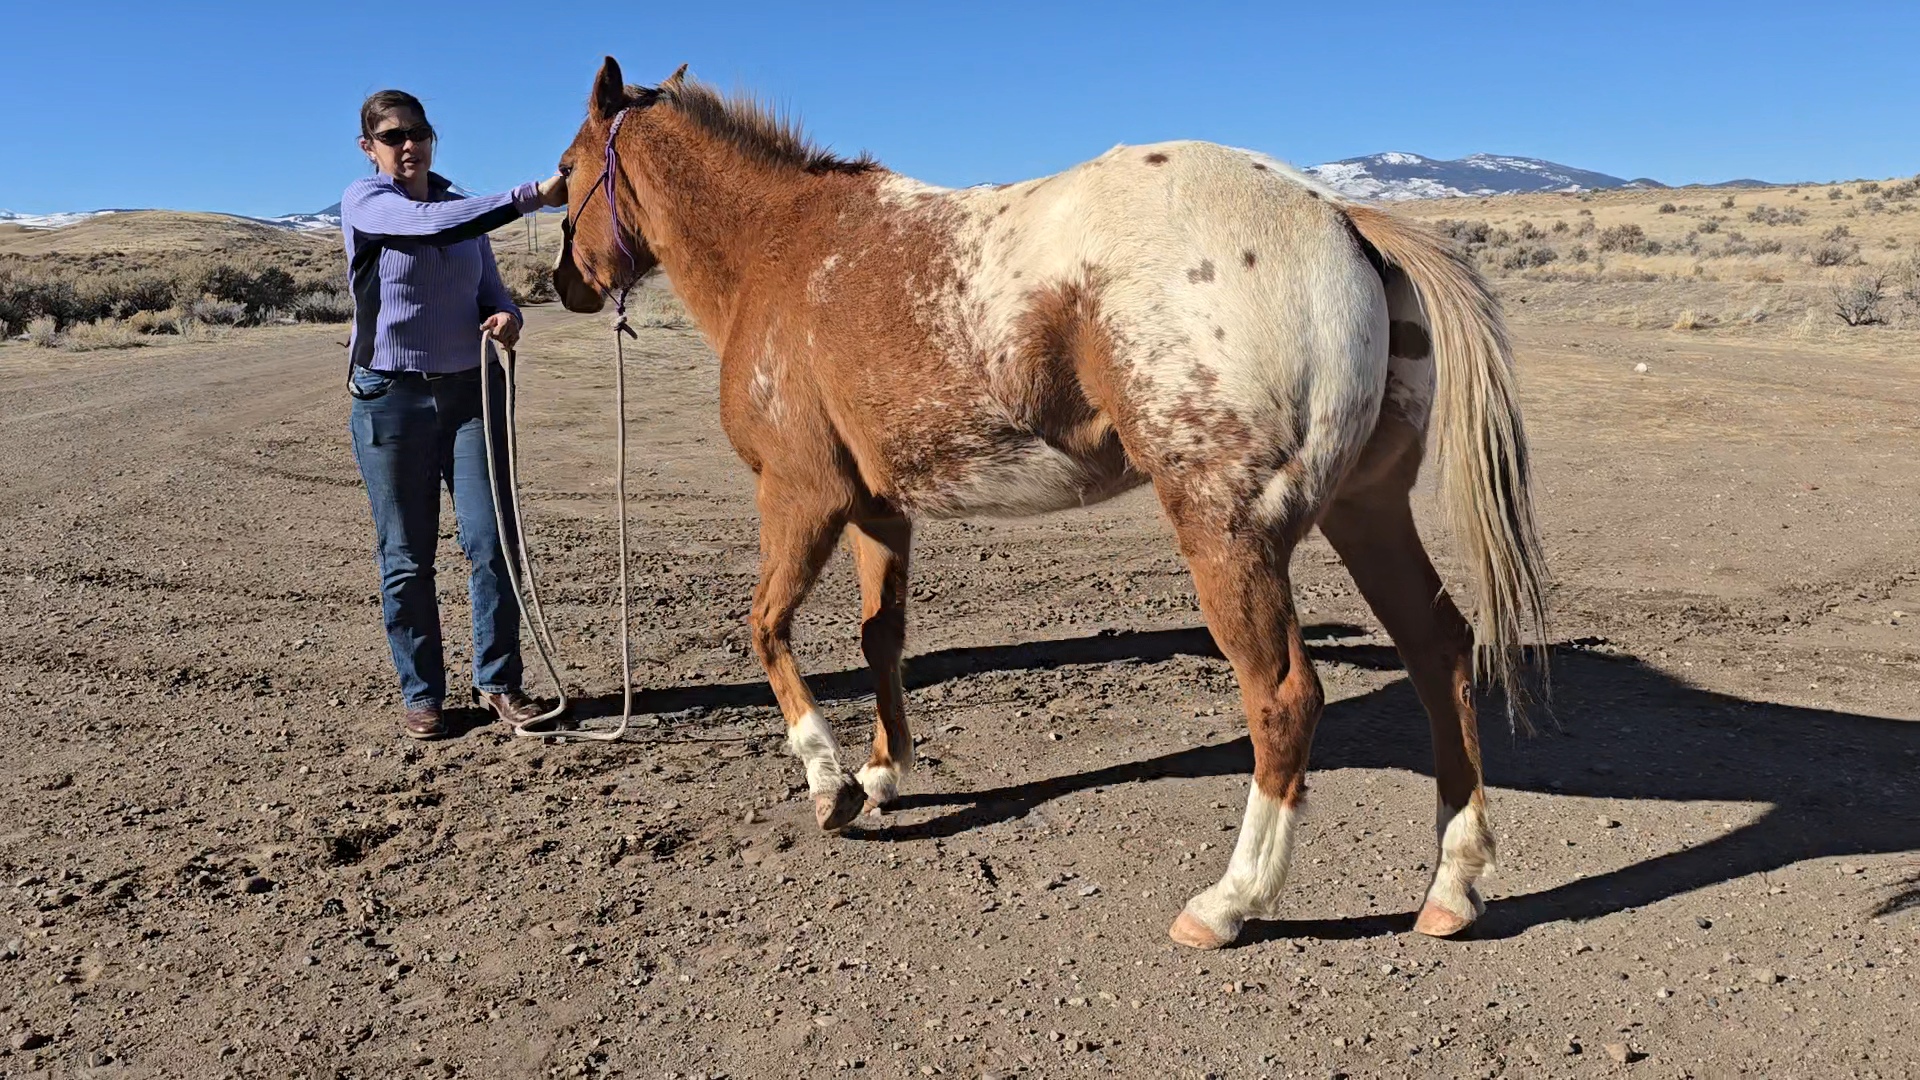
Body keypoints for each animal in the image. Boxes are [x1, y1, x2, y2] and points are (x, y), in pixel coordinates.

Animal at [550, 56, 1549, 950]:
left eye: (566, 171)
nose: (563, 285)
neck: (783, 248)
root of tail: (1341, 216)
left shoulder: (802, 496)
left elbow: (767, 629)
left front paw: (830, 785)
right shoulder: (880, 510)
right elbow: (881, 638)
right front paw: (884, 771)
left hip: (1230, 532)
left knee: (1285, 698)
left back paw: (1230, 903)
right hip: (1366, 510)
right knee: (1439, 650)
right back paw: (1452, 885)